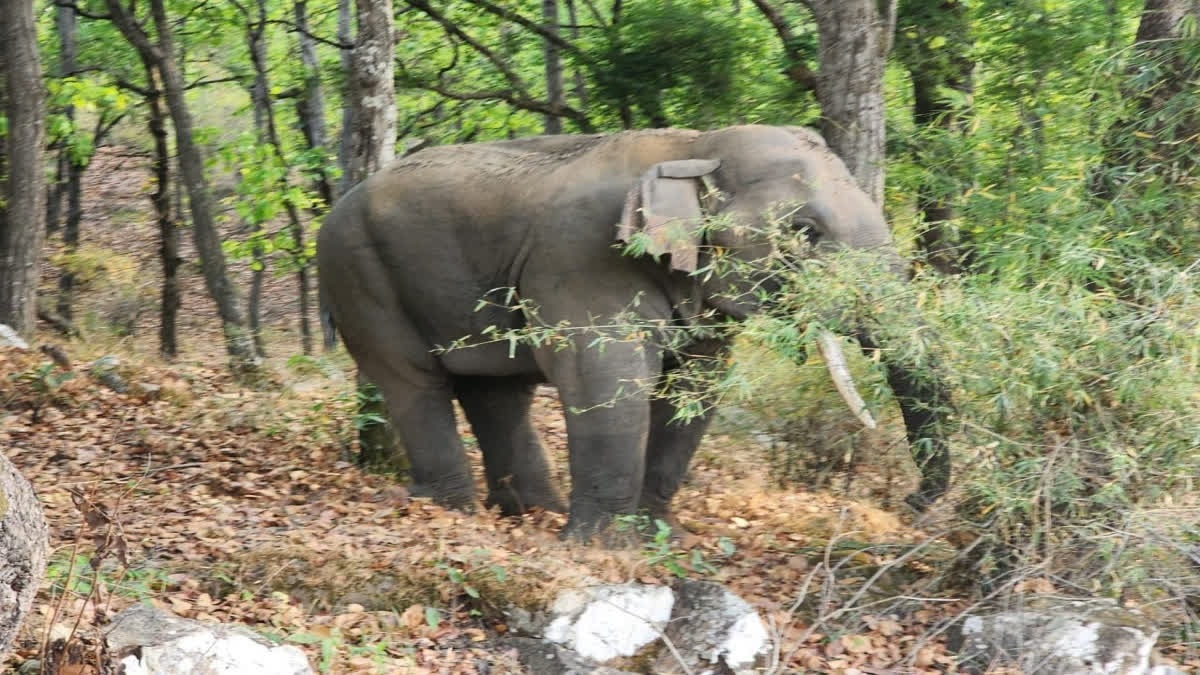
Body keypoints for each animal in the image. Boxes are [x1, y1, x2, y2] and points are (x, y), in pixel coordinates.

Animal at [317, 124, 951, 542]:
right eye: (805, 232)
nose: (911, 502)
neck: (693, 148)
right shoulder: (583, 257)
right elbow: (605, 379)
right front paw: (605, 548)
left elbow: (695, 386)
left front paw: (654, 536)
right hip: (358, 275)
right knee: (414, 382)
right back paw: (455, 514)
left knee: (496, 391)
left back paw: (531, 515)